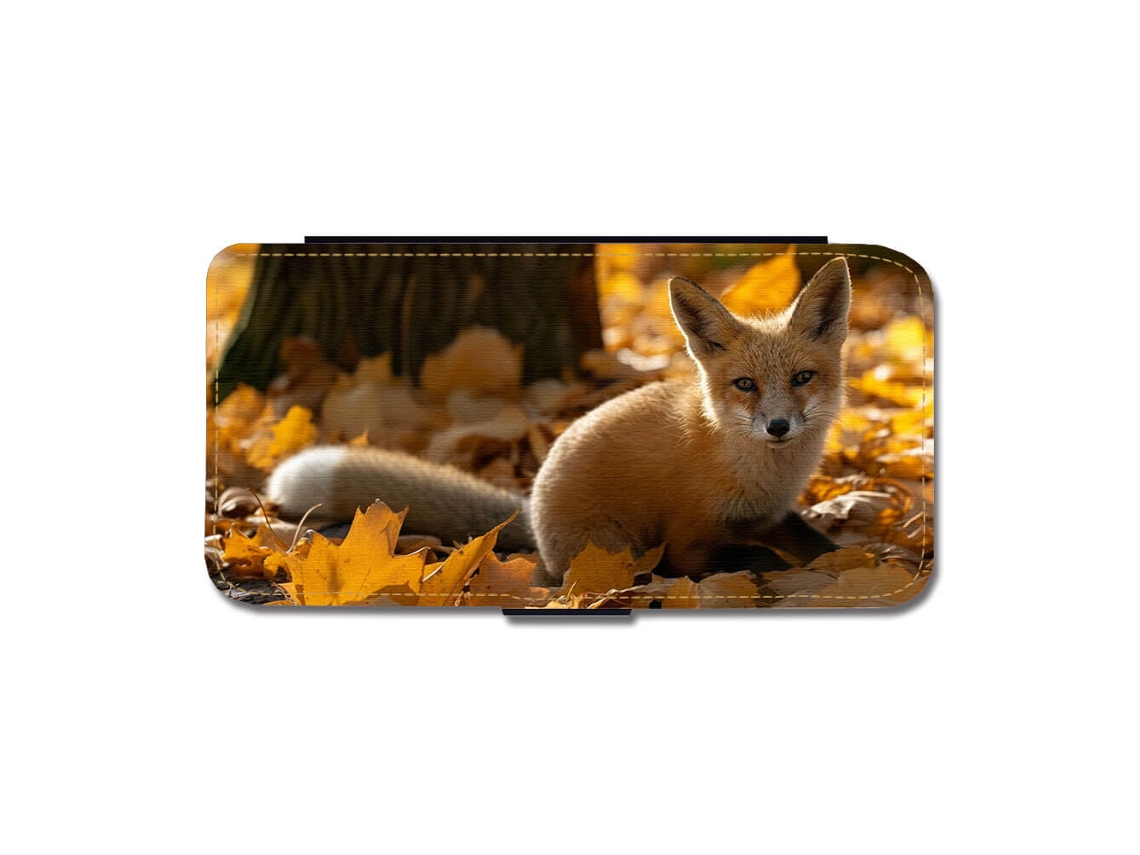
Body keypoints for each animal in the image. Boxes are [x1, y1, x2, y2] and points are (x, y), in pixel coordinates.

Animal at [266, 256, 852, 586]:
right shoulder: (691, 538)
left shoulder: (771, 514)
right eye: (745, 385)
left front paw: (851, 558)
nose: (778, 427)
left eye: (802, 378)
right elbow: (747, 558)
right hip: (614, 549)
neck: (762, 476)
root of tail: (531, 512)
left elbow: (817, 544)